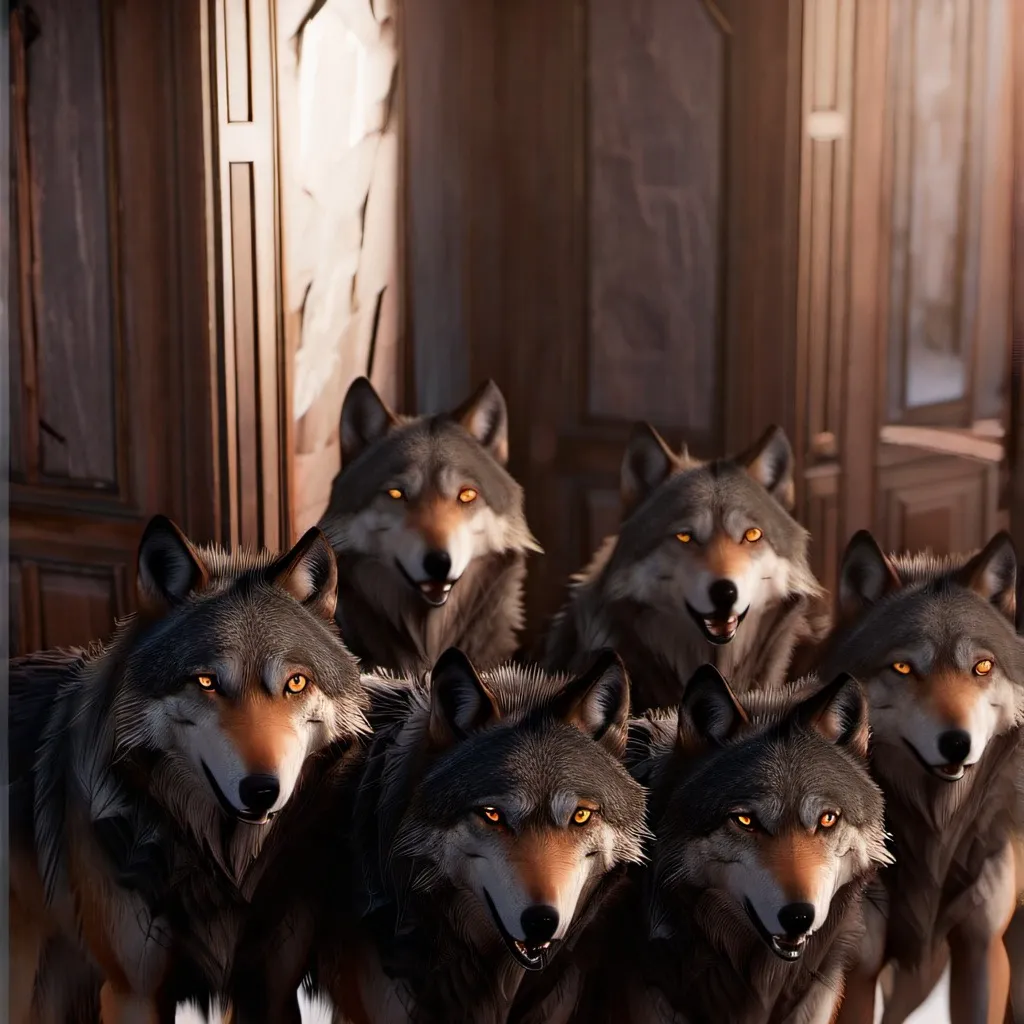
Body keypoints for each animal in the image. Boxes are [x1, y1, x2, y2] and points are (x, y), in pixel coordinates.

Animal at [9, 515, 370, 1024]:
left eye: (296, 682)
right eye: (206, 681)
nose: (263, 790)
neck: (223, 870)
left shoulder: (271, 990)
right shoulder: (134, 994)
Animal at [819, 530, 1024, 1024]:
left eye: (982, 667)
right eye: (904, 668)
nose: (957, 743)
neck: (936, 830)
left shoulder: (981, 948)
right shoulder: (858, 964)